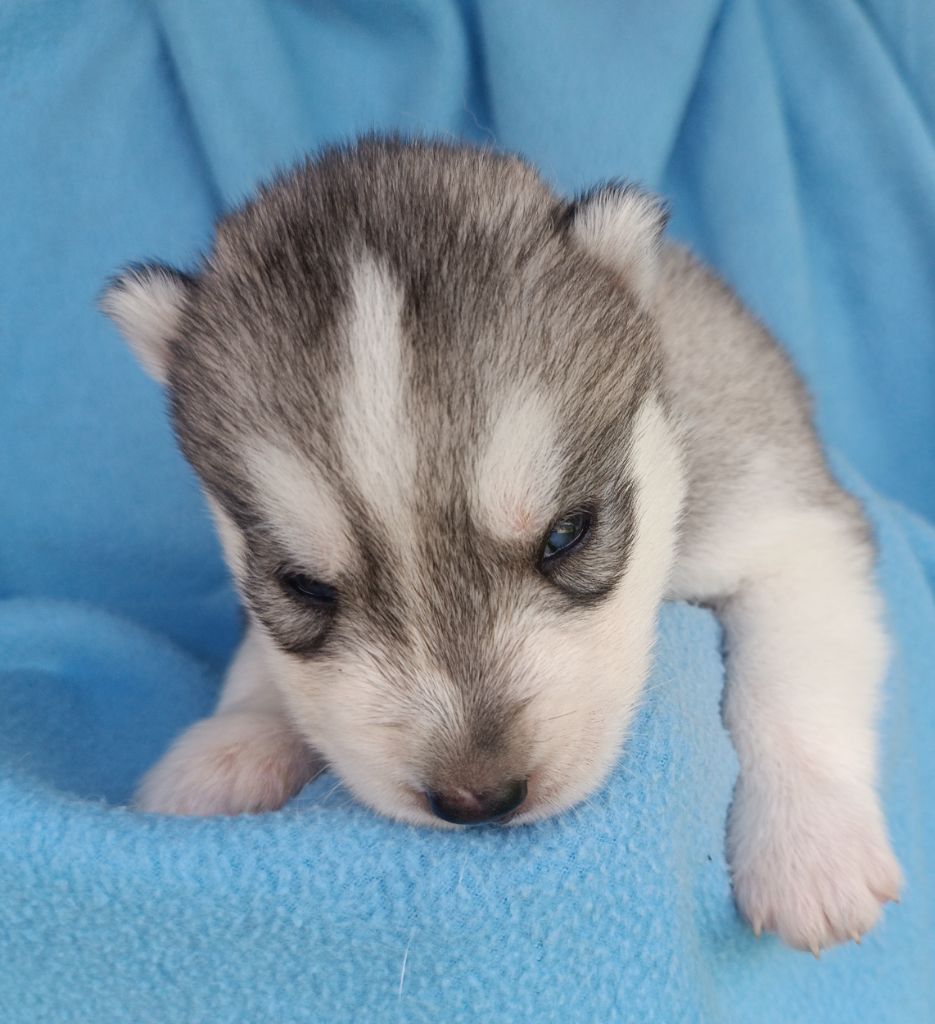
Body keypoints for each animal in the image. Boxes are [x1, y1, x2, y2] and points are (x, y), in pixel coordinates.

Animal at [102, 137, 901, 952]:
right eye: (305, 587)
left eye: (566, 534)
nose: (478, 799)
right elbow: (261, 664)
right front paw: (230, 742)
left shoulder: (788, 527)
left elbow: (790, 676)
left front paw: (809, 839)